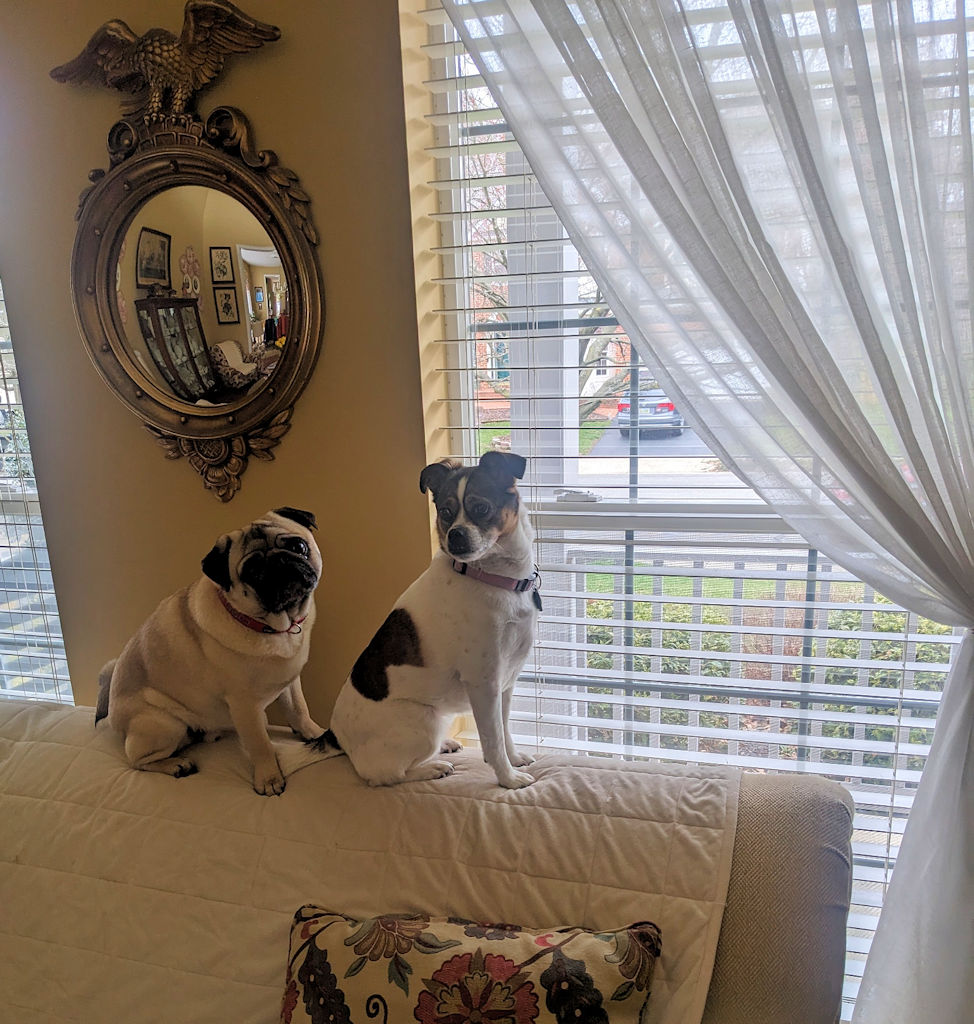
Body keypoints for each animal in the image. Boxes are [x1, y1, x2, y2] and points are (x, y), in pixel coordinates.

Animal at [95, 506, 325, 795]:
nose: (278, 563)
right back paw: (176, 764)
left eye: (297, 546)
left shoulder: (291, 682)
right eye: (252, 570)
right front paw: (269, 778)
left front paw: (315, 734)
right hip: (163, 724)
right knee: (137, 761)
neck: (273, 626)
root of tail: (114, 720)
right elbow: (260, 744)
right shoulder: (245, 706)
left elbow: (299, 711)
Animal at [319, 451, 540, 789]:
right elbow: (493, 740)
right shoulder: (484, 683)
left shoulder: (505, 683)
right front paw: (508, 778)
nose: (454, 535)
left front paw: (514, 760)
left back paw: (444, 749)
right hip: (425, 723)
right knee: (384, 775)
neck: (490, 578)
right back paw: (432, 768)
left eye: (481, 508)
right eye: (446, 512)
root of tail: (337, 738)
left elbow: (505, 731)